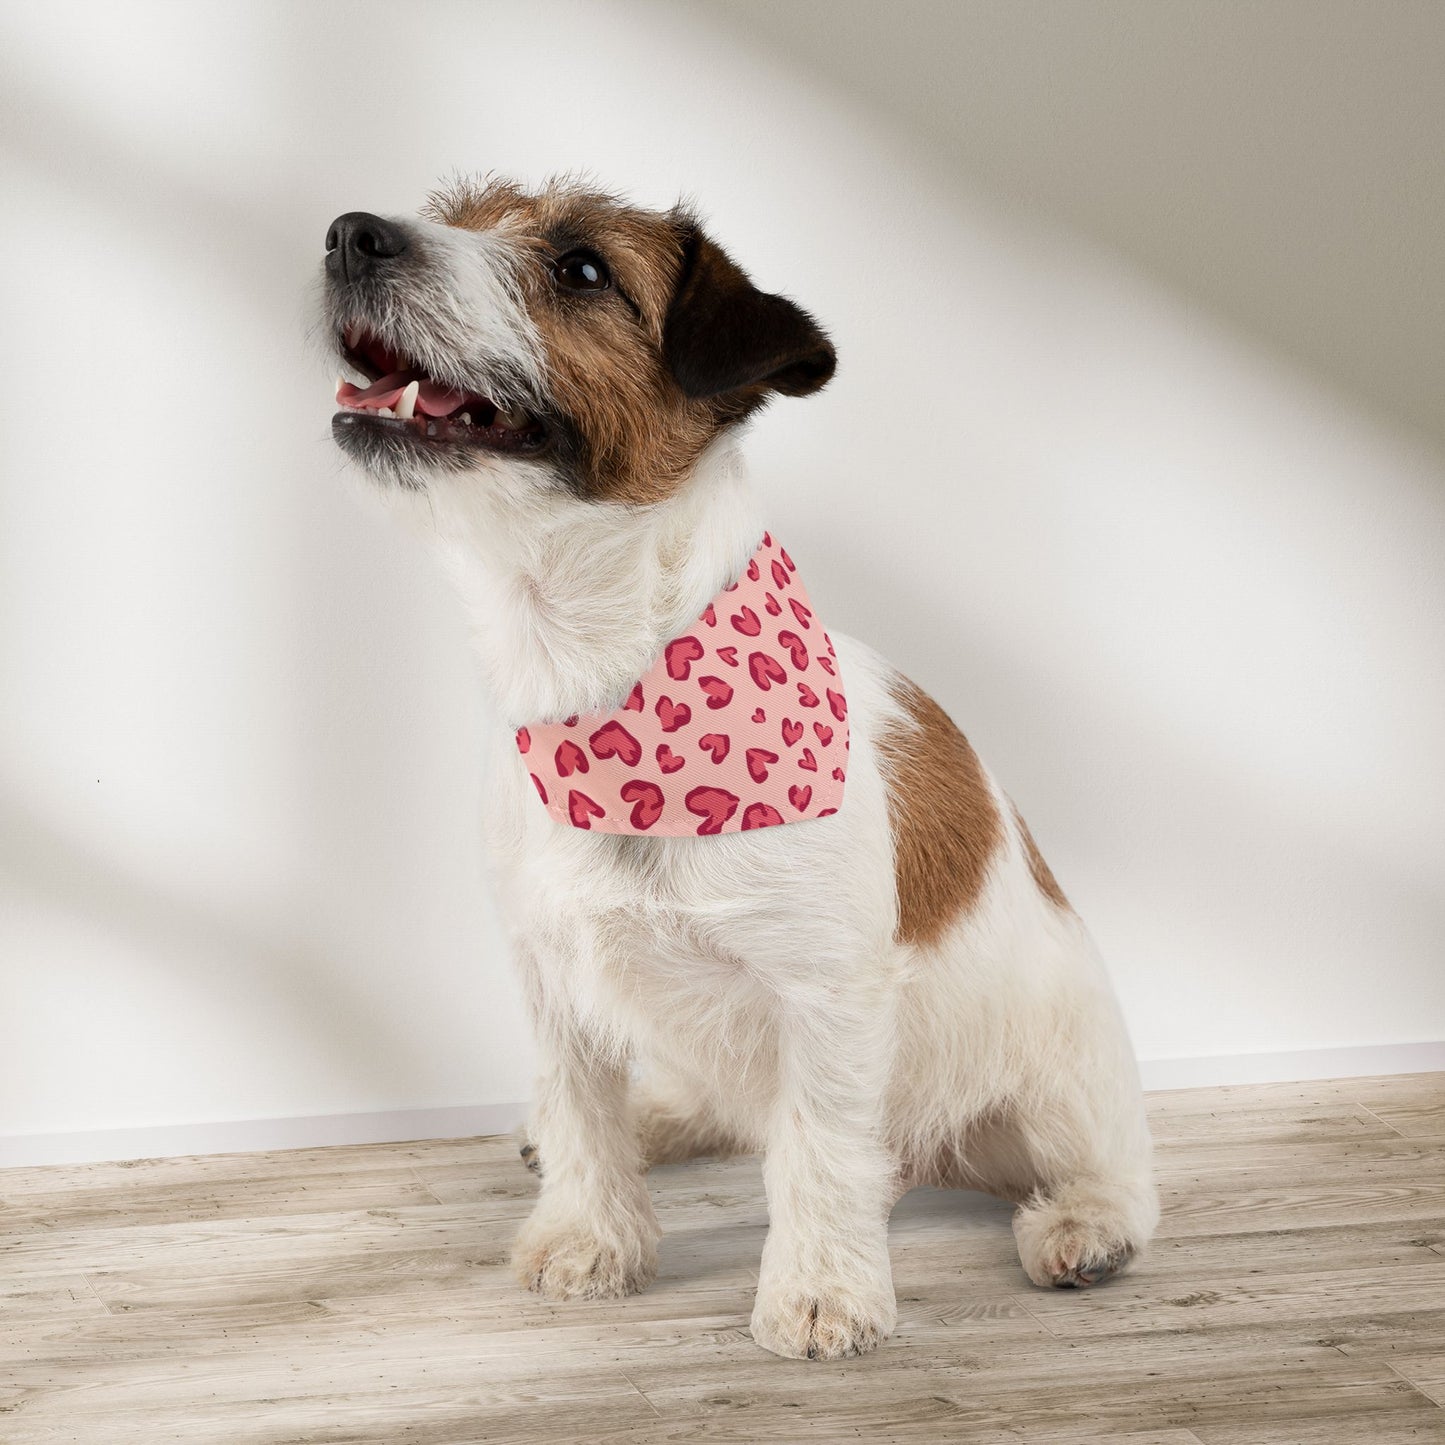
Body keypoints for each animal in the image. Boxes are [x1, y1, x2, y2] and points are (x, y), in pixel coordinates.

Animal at [322, 174, 1156, 1358]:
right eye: (457, 212)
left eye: (581, 268)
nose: (350, 235)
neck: (604, 694)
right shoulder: (550, 974)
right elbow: (580, 1108)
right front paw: (590, 1236)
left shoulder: (822, 993)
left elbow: (818, 1147)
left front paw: (819, 1290)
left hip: (1057, 1076)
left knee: (1115, 1171)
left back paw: (1084, 1224)